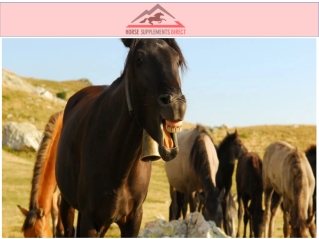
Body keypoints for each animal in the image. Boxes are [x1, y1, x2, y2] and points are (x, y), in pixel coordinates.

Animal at [55, 38, 188, 237]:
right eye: (139, 58)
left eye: (177, 60)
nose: (177, 104)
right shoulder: (88, 219)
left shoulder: (133, 218)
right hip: (67, 203)